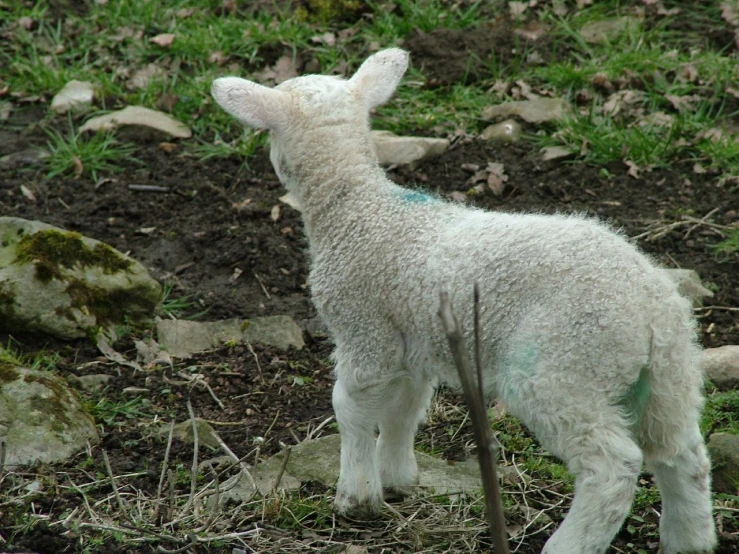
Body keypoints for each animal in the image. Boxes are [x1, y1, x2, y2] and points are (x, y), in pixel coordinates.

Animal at [211, 48, 720, 552]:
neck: (357, 209)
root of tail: (651, 309)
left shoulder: (365, 330)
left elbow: (351, 407)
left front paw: (356, 496)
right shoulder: (413, 339)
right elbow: (406, 409)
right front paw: (397, 478)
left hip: (562, 366)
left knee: (613, 466)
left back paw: (569, 542)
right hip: (667, 378)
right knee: (683, 455)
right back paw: (689, 540)